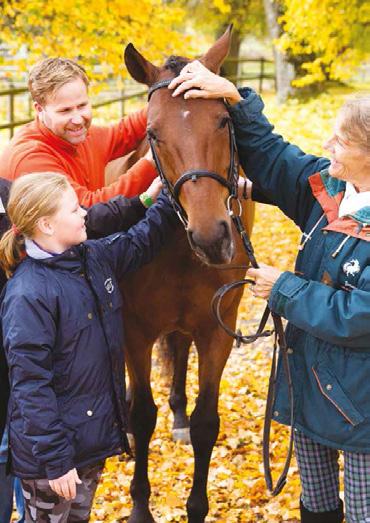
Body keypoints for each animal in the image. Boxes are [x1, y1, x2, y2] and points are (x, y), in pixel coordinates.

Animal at [121, 28, 254, 523]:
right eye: (152, 132)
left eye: (223, 120)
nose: (212, 235)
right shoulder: (133, 330)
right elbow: (142, 415)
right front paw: (141, 507)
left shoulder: (218, 329)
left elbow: (206, 423)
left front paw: (196, 506)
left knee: (179, 351)